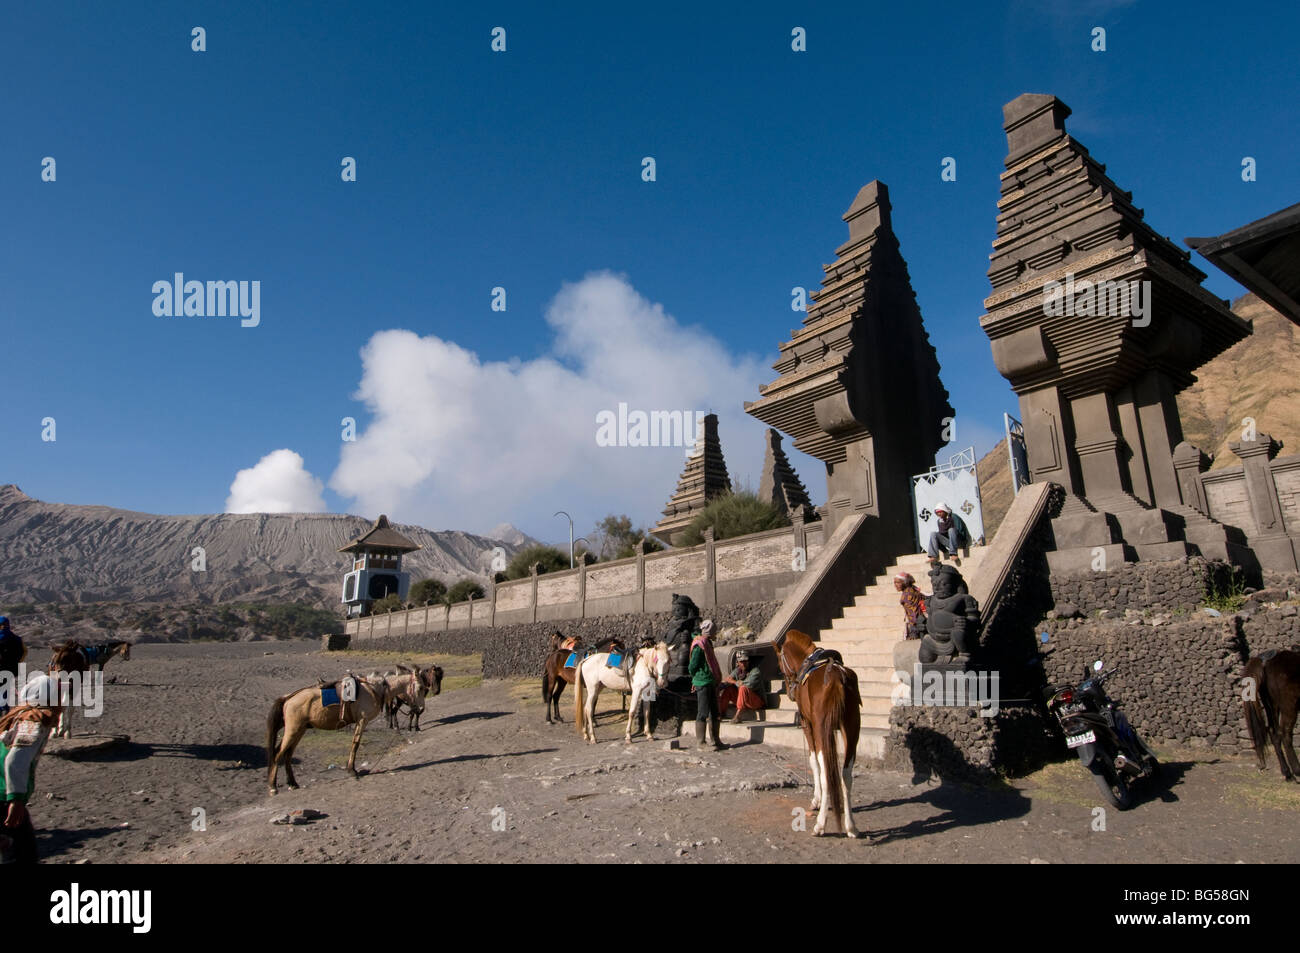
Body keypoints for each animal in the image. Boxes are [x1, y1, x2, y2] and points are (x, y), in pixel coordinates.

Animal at [774, 629, 857, 837]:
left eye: (780, 666)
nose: (790, 691)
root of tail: (835, 678)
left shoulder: (807, 723)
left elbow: (813, 761)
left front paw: (817, 800)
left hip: (821, 727)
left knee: (827, 771)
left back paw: (820, 824)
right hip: (852, 727)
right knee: (846, 774)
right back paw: (851, 825)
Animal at [1237, 650, 1300, 785]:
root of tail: (1265, 661)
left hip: (1271, 705)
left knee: (1274, 733)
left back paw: (1287, 773)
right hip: (1288, 706)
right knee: (1285, 734)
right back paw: (1297, 770)